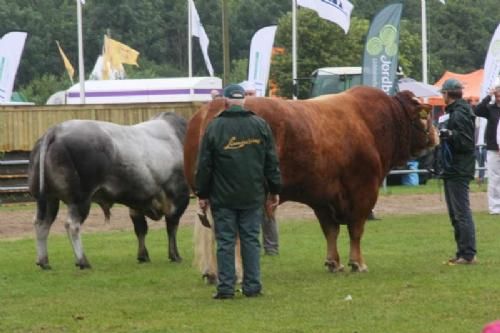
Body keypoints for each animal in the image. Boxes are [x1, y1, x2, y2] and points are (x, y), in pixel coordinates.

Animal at [28, 113, 190, 268]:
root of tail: (56, 130)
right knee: (72, 225)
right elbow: (172, 227)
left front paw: (143, 256)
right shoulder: (179, 198)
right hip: (80, 200)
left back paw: (43, 261)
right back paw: (82, 261)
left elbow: (141, 229)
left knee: (42, 223)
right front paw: (175, 255)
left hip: (48, 199)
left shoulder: (137, 202)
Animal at [184, 85, 438, 272]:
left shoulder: (323, 197)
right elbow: (356, 229)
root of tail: (214, 105)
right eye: (424, 116)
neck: (372, 123)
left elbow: (330, 231)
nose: (436, 135)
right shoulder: (364, 190)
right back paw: (235, 272)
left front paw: (333, 262)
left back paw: (211, 273)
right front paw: (358, 263)